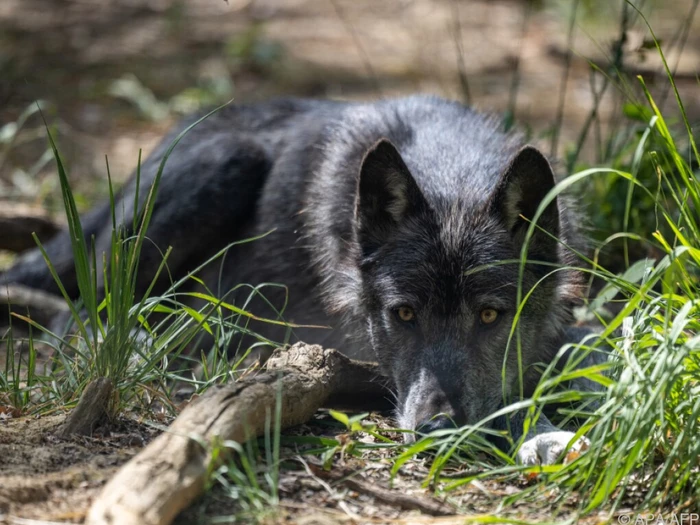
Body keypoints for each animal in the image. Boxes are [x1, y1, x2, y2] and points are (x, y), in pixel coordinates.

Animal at [1, 96, 599, 464]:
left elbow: (582, 344)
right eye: (403, 314)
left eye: (491, 316)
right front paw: (540, 429)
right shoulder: (352, 356)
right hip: (222, 166)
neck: (451, 170)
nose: (437, 429)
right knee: (83, 310)